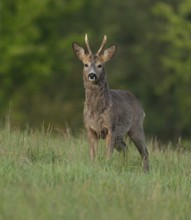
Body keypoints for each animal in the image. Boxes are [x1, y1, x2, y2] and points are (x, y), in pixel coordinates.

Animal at [72, 34, 148, 172]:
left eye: (100, 65)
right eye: (85, 64)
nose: (92, 75)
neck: (97, 111)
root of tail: (140, 105)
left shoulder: (110, 128)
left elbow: (108, 154)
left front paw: (106, 167)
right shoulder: (89, 128)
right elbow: (93, 154)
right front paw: (93, 167)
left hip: (136, 127)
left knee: (144, 151)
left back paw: (145, 171)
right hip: (120, 136)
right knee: (125, 148)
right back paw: (124, 167)